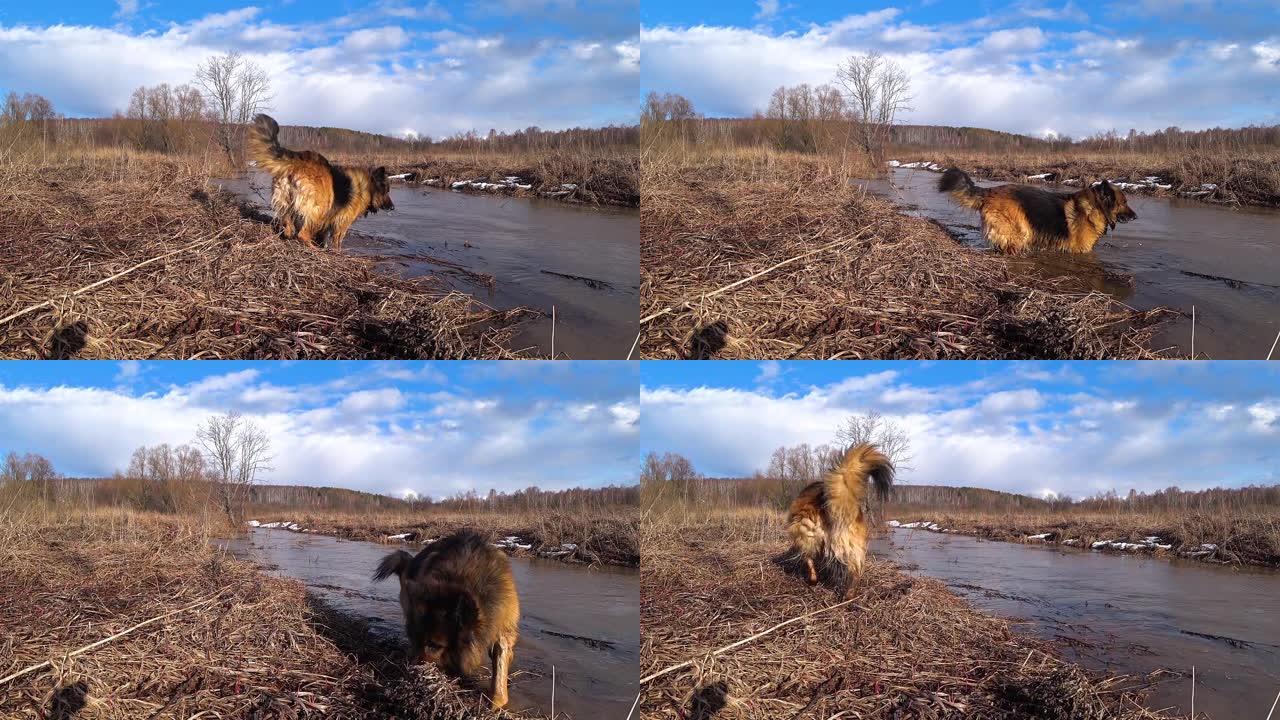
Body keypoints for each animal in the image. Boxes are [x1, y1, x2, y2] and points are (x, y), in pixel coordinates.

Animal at [247, 113, 391, 251]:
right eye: (386, 192)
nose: (392, 207)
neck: (368, 186)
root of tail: (297, 161)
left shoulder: (329, 221)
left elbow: (323, 236)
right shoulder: (341, 223)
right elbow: (337, 241)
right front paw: (337, 252)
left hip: (286, 203)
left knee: (288, 227)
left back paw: (291, 236)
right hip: (318, 208)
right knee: (303, 234)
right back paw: (312, 247)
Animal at [373, 530, 519, 702]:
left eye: (434, 645)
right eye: (417, 640)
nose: (409, 673)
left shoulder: (503, 627)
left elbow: (500, 665)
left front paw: (497, 701)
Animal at [783, 440, 896, 597]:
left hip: (806, 533)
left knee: (808, 558)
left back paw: (814, 580)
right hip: (852, 545)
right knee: (854, 573)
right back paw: (849, 595)